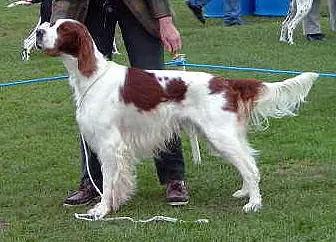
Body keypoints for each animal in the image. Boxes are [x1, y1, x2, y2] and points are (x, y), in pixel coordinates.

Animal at [36, 18, 318, 219]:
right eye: (50, 24)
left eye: (62, 29)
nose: (38, 32)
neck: (92, 75)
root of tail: (225, 81)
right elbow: (118, 181)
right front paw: (117, 202)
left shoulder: (109, 143)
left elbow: (107, 182)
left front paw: (102, 210)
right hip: (223, 136)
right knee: (249, 162)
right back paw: (245, 193)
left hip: (220, 136)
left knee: (250, 167)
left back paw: (254, 204)